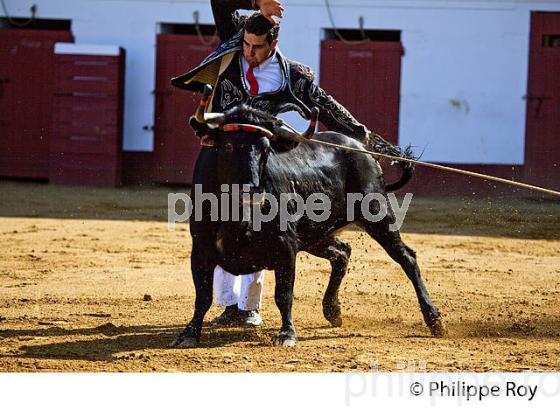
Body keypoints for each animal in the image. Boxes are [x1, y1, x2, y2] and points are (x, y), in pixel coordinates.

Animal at [171, 107, 446, 348]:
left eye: (266, 149)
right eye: (227, 146)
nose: (251, 191)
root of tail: (362, 149)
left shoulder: (286, 247)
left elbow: (284, 294)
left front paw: (286, 335)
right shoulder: (200, 250)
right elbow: (203, 295)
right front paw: (189, 334)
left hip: (377, 215)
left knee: (407, 258)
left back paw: (434, 320)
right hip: (317, 235)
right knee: (342, 252)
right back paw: (333, 310)